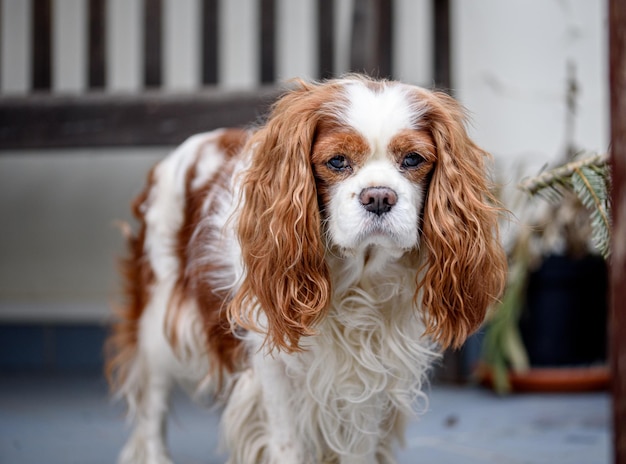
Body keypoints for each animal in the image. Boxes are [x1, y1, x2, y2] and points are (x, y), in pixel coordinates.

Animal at [106, 76, 508, 464]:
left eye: (412, 159)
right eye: (337, 161)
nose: (379, 197)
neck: (357, 278)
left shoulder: (372, 371)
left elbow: (358, 447)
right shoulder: (274, 368)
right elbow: (288, 444)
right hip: (159, 321)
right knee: (152, 405)